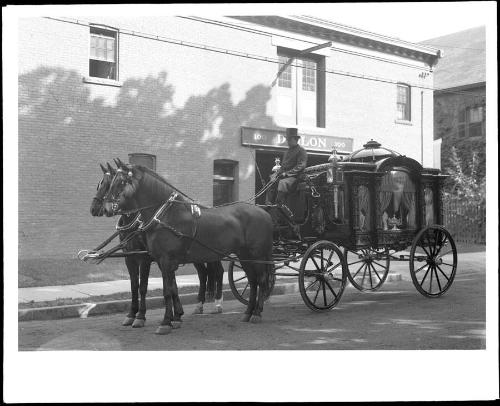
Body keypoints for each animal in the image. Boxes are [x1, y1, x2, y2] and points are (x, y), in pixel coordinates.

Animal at [102, 163, 274, 334]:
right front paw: (175, 319)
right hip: (244, 255)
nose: (106, 207)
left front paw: (165, 322)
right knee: (252, 281)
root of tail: (264, 212)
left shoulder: (163, 260)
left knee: (260, 280)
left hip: (257, 255)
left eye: (121, 182)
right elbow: (171, 289)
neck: (166, 216)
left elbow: (166, 291)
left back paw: (256, 313)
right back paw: (247, 313)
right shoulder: (162, 262)